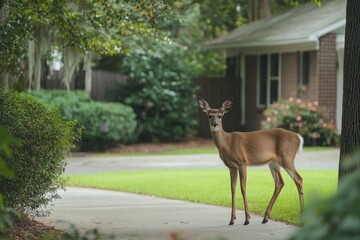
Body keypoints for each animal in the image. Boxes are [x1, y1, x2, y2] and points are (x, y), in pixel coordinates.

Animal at [197, 96, 304, 226]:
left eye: (220, 115)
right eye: (209, 115)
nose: (214, 124)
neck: (227, 143)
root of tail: (298, 137)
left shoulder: (242, 162)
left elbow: (243, 188)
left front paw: (247, 219)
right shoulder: (231, 166)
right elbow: (232, 189)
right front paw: (232, 220)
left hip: (287, 158)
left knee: (299, 179)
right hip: (273, 163)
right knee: (280, 183)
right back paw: (265, 218)